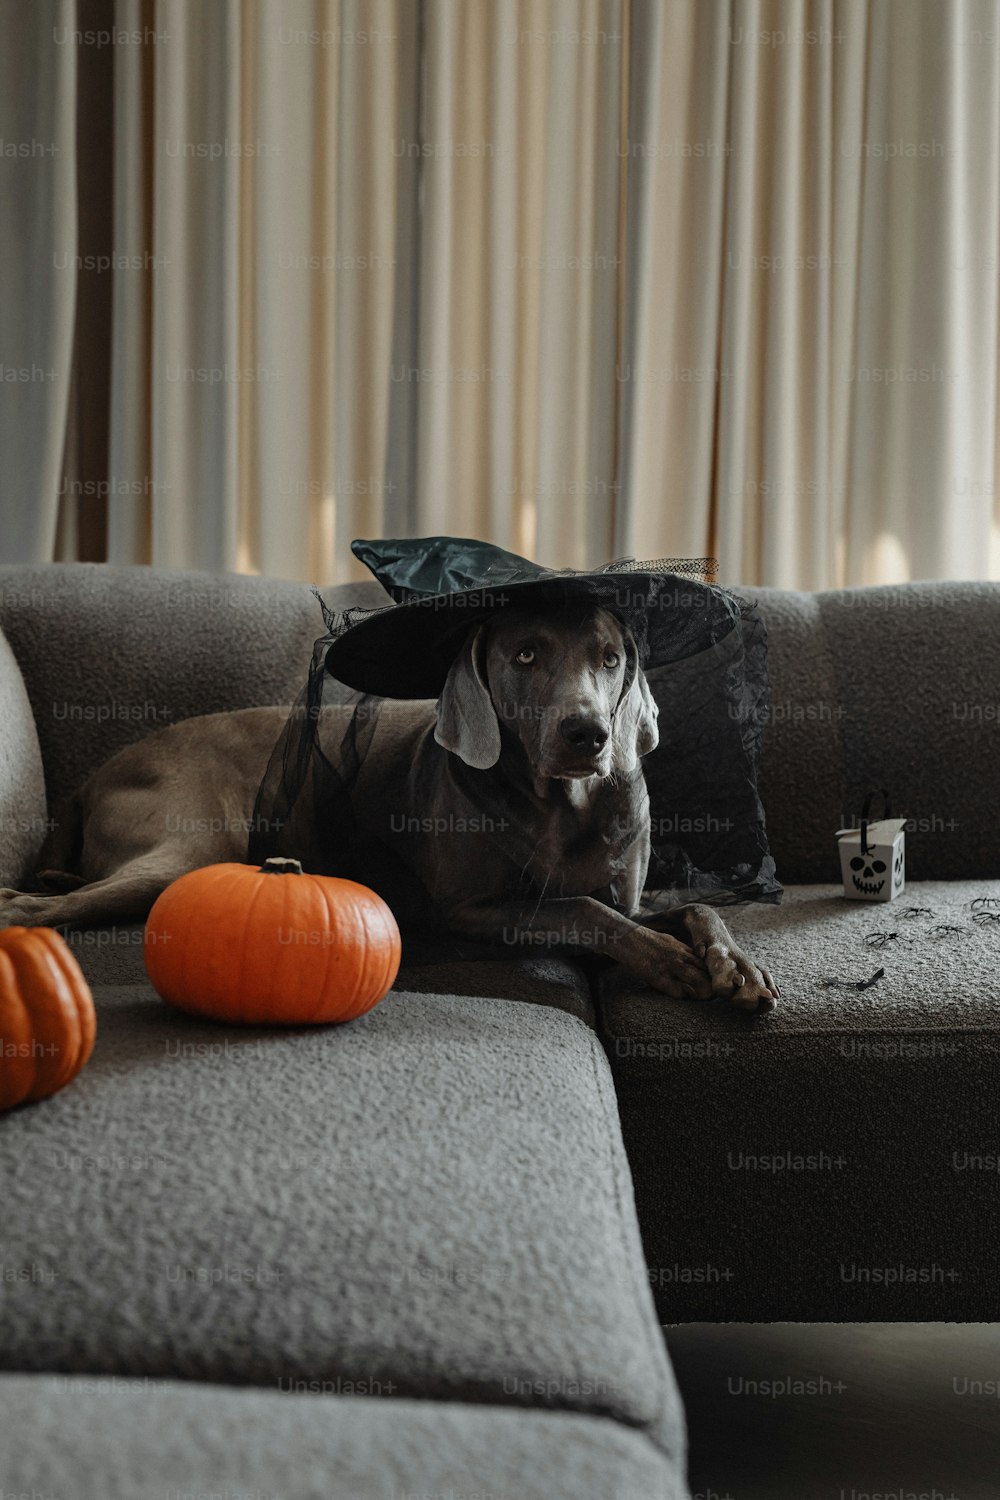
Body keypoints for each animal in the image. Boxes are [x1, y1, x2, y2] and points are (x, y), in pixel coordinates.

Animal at [0, 603, 779, 1014]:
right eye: (526, 655)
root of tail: (97, 774)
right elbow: (580, 909)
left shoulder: (630, 894)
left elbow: (691, 906)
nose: (586, 733)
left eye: (611, 657)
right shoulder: (469, 907)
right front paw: (670, 963)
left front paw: (735, 966)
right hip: (190, 848)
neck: (562, 805)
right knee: (42, 907)